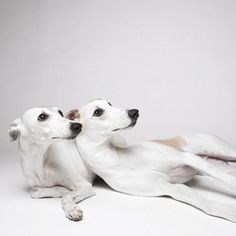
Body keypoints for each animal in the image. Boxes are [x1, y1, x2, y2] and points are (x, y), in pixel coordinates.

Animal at [67, 99, 236, 223]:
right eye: (97, 112)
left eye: (110, 103)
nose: (134, 112)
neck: (116, 157)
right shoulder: (168, 187)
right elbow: (202, 201)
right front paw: (228, 211)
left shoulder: (187, 157)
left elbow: (228, 180)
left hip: (222, 152)